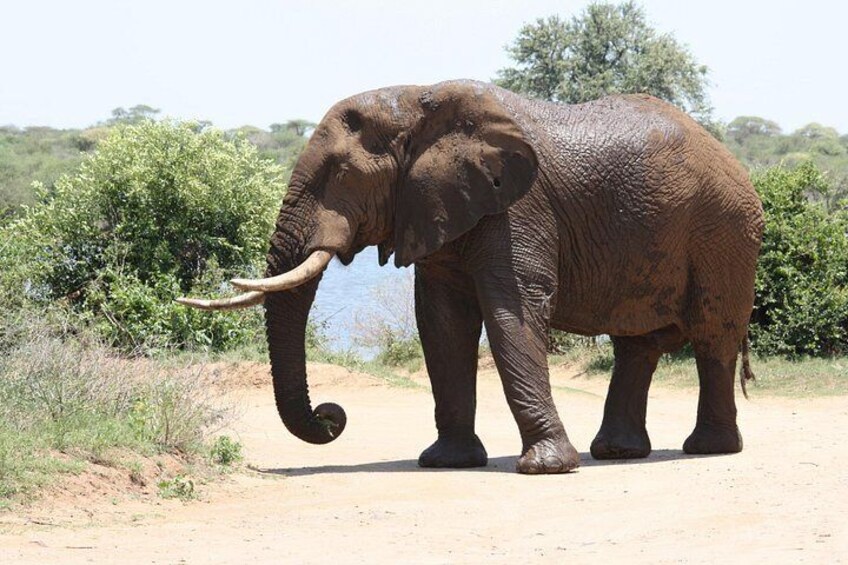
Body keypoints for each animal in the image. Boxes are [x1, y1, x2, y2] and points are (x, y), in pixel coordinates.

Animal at [179, 80, 764, 475]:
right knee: (636, 344)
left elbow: (512, 313)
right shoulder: (438, 206)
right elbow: (442, 324)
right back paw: (618, 452)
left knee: (713, 337)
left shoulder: (517, 206)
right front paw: (447, 462)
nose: (331, 416)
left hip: (725, 234)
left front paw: (545, 468)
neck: (419, 101)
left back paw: (707, 449)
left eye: (338, 175)